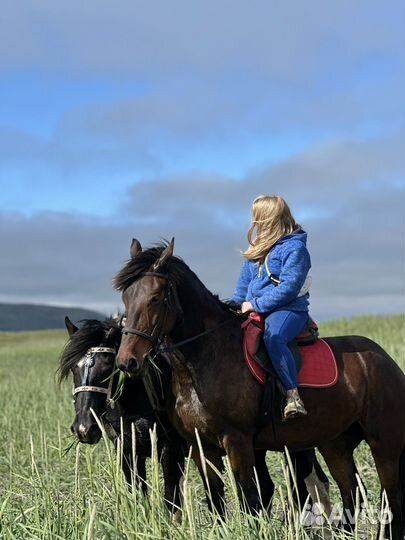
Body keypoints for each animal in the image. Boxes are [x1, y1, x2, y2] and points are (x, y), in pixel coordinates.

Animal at [114, 240, 404, 540]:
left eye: (155, 297)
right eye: (126, 297)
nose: (127, 362)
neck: (206, 359)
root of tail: (386, 361)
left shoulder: (237, 441)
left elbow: (249, 498)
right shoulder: (200, 446)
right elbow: (216, 499)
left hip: (384, 444)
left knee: (390, 497)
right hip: (335, 443)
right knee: (352, 491)